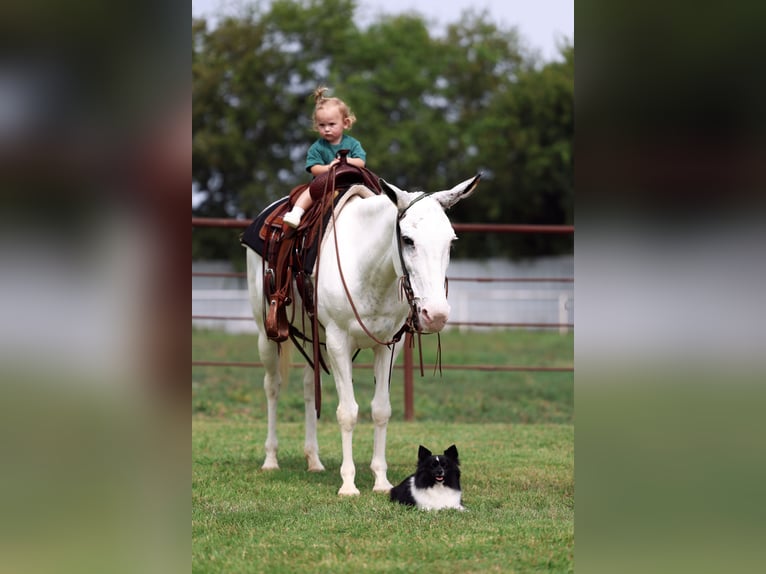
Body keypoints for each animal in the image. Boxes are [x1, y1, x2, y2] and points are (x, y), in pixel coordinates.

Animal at [245, 174, 480, 495]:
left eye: (451, 242)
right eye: (408, 240)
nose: (436, 315)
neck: (369, 269)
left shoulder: (389, 345)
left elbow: (381, 410)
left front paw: (381, 480)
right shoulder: (338, 341)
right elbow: (348, 412)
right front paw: (348, 484)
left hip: (313, 339)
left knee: (309, 389)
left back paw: (314, 460)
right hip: (266, 334)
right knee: (273, 386)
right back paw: (271, 459)